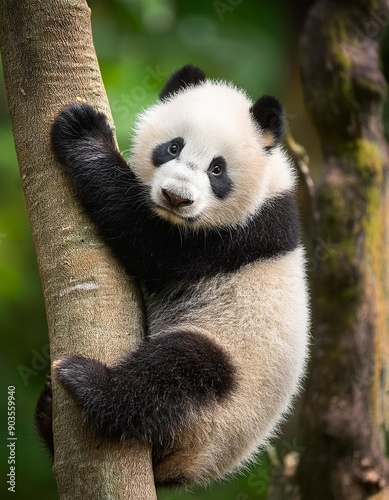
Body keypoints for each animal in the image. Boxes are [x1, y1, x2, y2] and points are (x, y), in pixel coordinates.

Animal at [37, 64, 310, 486]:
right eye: (173, 147)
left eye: (218, 169)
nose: (176, 197)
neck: (269, 184)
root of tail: (182, 470)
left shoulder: (236, 236)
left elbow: (148, 242)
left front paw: (83, 132)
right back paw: (48, 409)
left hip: (225, 391)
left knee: (179, 373)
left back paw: (91, 384)